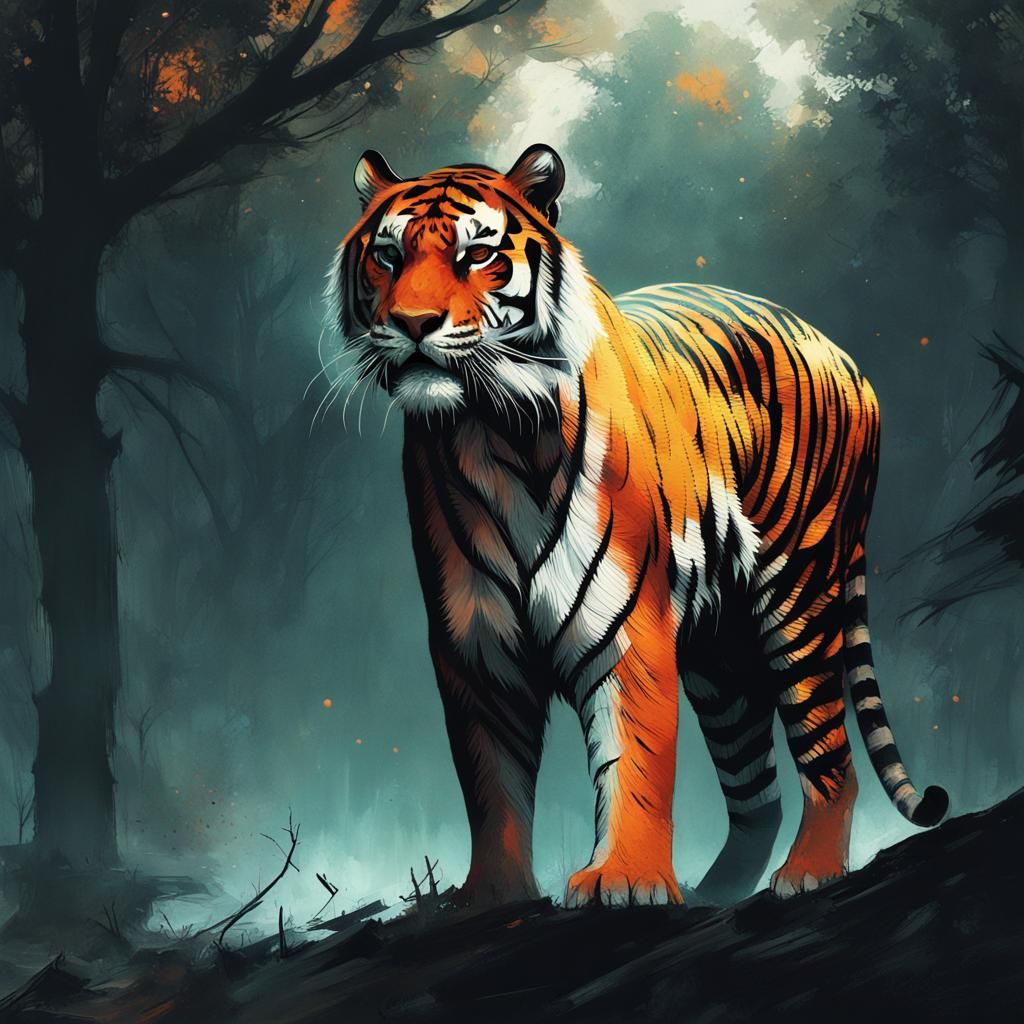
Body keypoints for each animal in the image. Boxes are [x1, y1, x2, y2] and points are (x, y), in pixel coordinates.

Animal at [325, 143, 948, 908]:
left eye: (478, 254)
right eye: (387, 255)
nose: (413, 323)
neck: (493, 432)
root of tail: (842, 353)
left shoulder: (628, 627)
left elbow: (637, 761)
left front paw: (624, 878)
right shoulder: (475, 645)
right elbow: (491, 784)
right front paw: (492, 896)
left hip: (799, 596)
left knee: (829, 754)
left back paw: (810, 871)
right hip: (720, 655)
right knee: (756, 792)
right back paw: (718, 891)